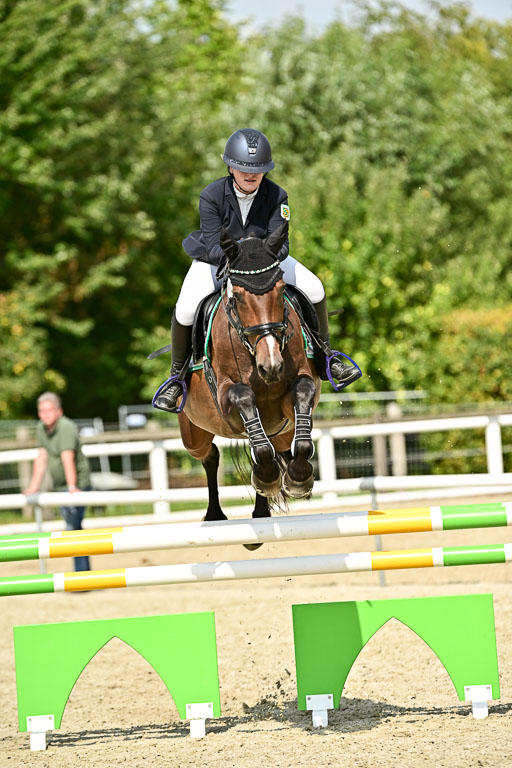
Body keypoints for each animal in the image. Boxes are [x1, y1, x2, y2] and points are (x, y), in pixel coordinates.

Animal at [177, 220, 322, 533]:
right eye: (239, 297)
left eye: (281, 290)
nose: (272, 366)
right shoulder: (226, 396)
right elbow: (245, 400)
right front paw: (267, 478)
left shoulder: (298, 390)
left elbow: (302, 397)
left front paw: (298, 478)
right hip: (193, 434)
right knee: (210, 455)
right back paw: (216, 514)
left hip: (282, 430)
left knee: (278, 445)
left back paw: (266, 504)